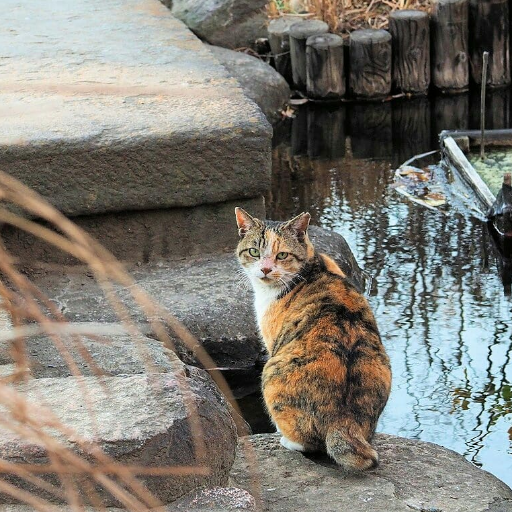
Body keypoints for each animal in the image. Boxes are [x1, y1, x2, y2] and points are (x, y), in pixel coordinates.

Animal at [236, 208, 392, 472]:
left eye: (282, 255)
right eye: (254, 251)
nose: (265, 269)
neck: (313, 265)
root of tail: (342, 420)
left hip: (272, 371)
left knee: (309, 442)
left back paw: (287, 440)